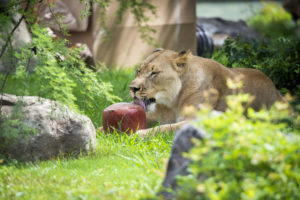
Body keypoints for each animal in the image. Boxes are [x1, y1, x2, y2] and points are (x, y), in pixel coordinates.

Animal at [129, 48, 284, 137]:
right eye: (138, 71)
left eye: (154, 73)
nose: (132, 88)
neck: (174, 100)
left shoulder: (197, 120)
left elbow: (164, 128)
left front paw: (137, 134)